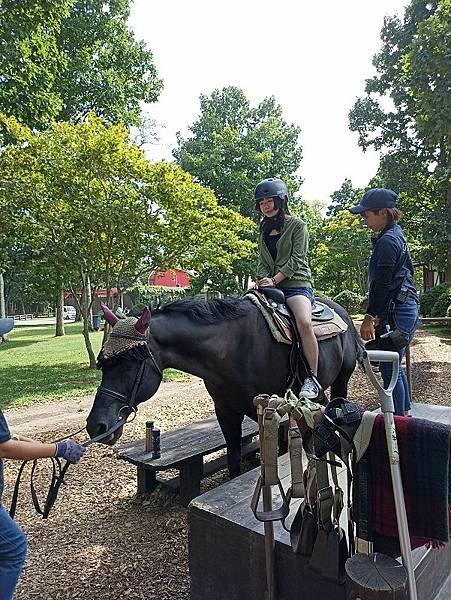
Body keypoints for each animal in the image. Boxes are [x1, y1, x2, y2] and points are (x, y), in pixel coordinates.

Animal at [87, 294, 360, 474]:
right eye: (104, 362)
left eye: (131, 363)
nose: (96, 426)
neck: (231, 349)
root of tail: (344, 313)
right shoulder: (226, 412)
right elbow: (233, 459)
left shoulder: (267, 410)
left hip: (341, 380)